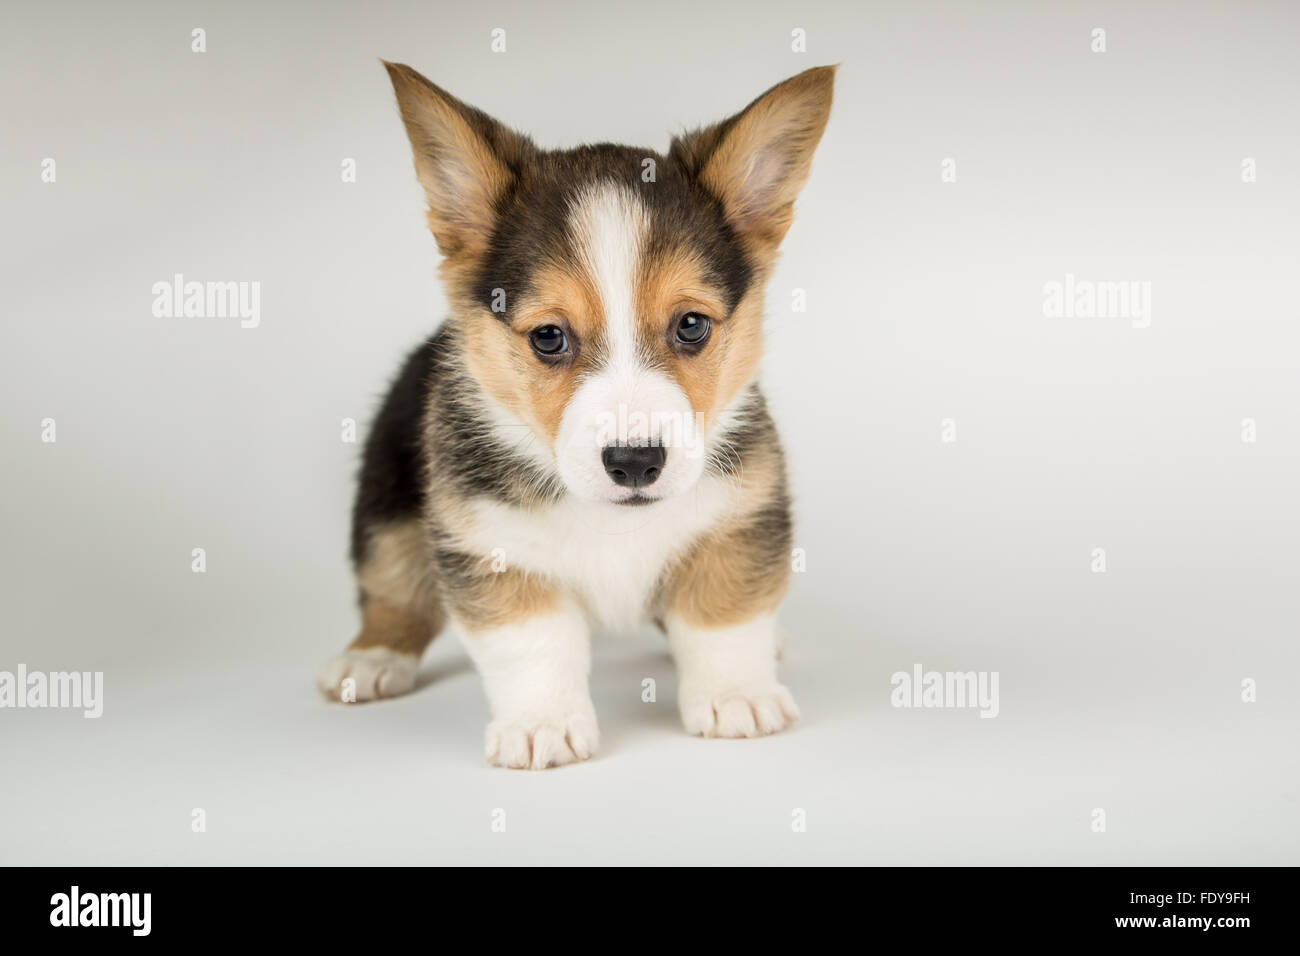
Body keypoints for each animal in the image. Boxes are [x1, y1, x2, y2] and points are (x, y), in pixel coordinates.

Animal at [319, 61, 837, 770]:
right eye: (548, 338)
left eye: (692, 326)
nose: (636, 462)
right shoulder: (490, 545)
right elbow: (532, 643)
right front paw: (543, 726)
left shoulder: (741, 516)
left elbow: (722, 614)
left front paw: (737, 697)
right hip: (386, 500)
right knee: (391, 586)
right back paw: (369, 659)